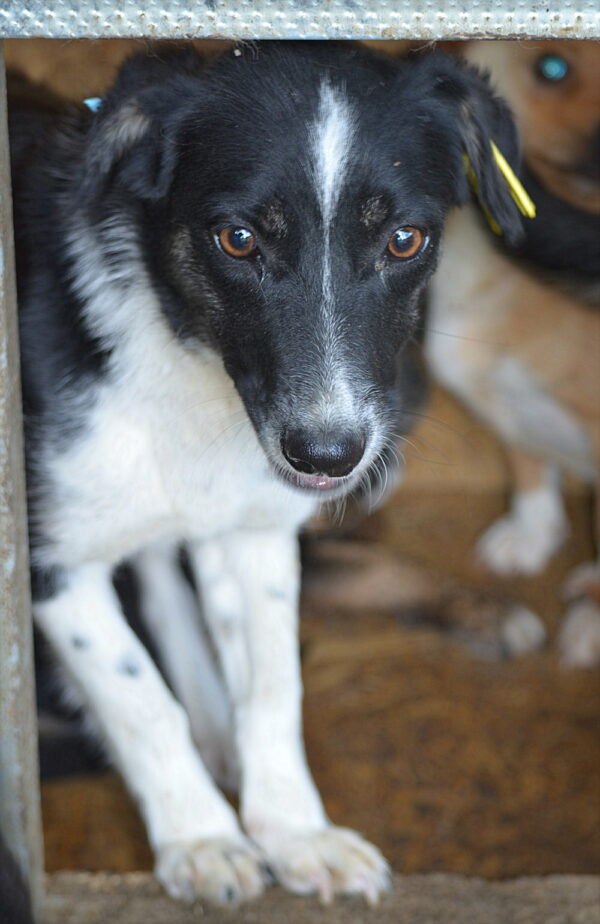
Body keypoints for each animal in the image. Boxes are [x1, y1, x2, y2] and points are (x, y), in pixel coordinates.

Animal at [10, 41, 520, 904]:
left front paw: (293, 830)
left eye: (405, 240)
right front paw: (202, 837)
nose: (328, 455)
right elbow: (138, 698)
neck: (185, 359)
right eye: (240, 239)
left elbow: (276, 687)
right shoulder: (51, 563)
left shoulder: (253, 530)